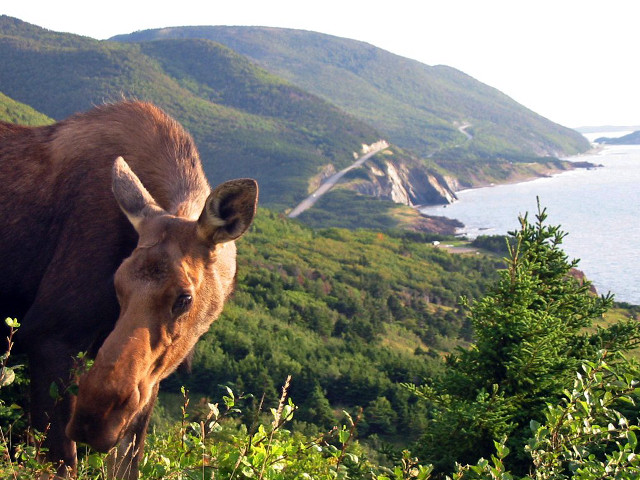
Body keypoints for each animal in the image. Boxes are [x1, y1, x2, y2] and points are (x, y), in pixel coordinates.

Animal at [0, 101, 258, 478]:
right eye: (116, 284)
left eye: (185, 298)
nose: (94, 417)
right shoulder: (48, 335)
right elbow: (63, 461)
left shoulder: (150, 381)